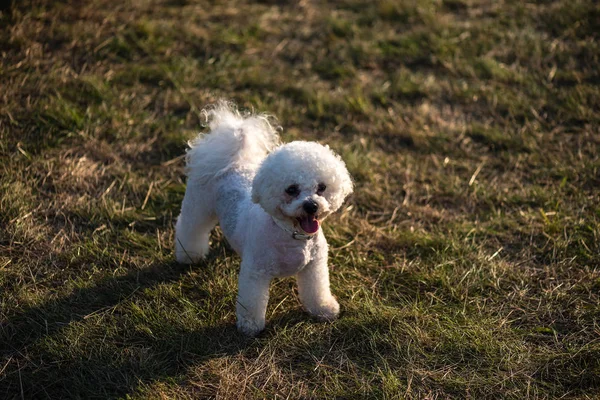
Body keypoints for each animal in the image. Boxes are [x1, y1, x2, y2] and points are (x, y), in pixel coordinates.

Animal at [175, 102, 352, 334]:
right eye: (291, 189)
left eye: (321, 187)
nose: (311, 206)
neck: (291, 234)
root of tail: (233, 160)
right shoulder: (255, 273)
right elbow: (252, 302)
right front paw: (250, 326)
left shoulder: (315, 266)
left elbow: (318, 290)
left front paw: (324, 309)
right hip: (198, 207)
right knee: (189, 228)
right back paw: (190, 255)